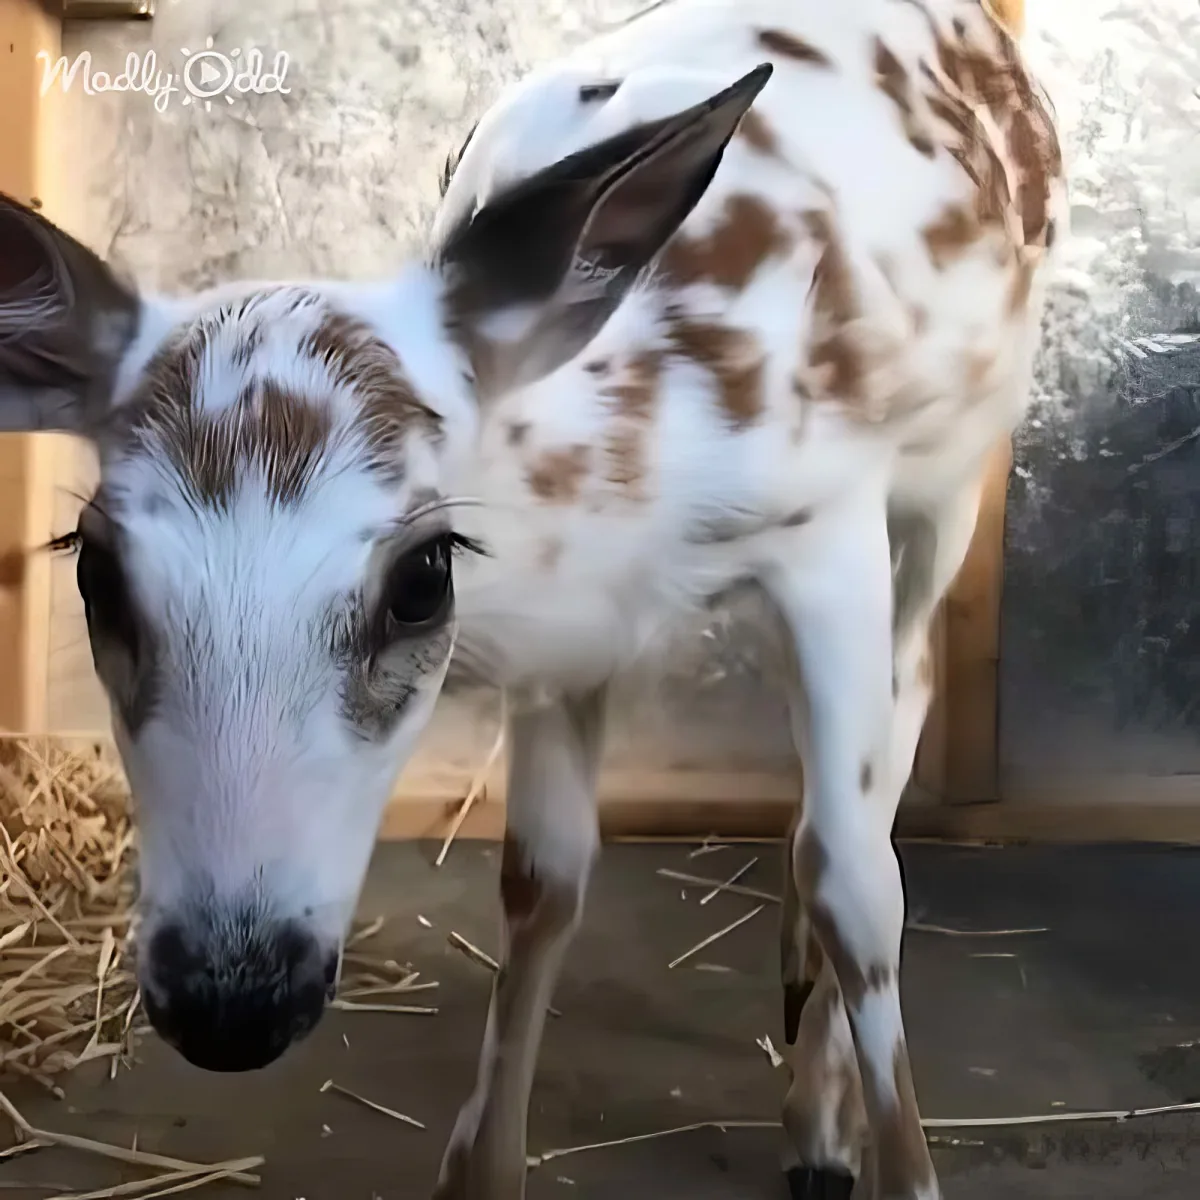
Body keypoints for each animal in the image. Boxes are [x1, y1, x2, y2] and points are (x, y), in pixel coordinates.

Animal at [0, 1, 1062, 1196]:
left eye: (422, 577)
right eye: (93, 570)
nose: (232, 1001)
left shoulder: (829, 530)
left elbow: (858, 881)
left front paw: (872, 1156)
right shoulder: (569, 646)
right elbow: (543, 884)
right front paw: (483, 1164)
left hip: (950, 479)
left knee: (907, 699)